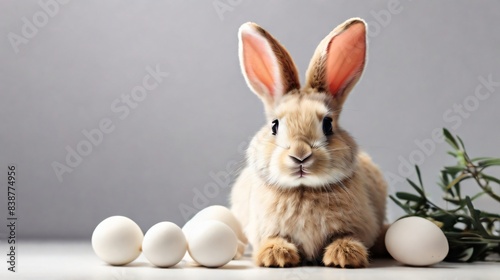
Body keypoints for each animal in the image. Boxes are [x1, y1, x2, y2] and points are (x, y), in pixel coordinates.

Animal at [230, 18, 386, 268]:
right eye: (274, 125)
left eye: (328, 125)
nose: (300, 155)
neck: (303, 190)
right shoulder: (265, 229)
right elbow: (273, 238)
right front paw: (276, 255)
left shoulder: (357, 227)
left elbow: (345, 236)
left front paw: (344, 255)